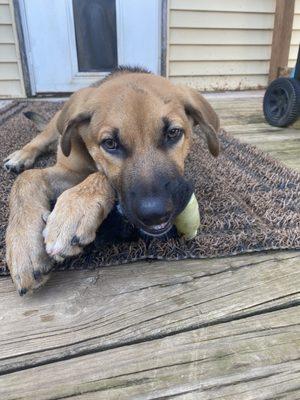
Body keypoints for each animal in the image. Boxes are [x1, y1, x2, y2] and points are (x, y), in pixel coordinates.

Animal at [4, 68, 220, 294]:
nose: (155, 214)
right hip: (56, 124)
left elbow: (99, 174)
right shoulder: (69, 169)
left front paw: (73, 211)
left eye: (173, 133)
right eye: (109, 143)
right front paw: (23, 244)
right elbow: (26, 177)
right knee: (40, 139)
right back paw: (20, 156)